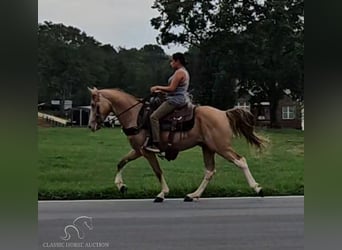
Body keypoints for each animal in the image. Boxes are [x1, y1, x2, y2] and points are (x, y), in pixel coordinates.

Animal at [86, 87, 268, 202]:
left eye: (94, 105)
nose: (90, 125)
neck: (136, 116)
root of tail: (224, 113)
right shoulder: (138, 150)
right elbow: (121, 162)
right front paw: (120, 186)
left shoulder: (147, 151)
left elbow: (157, 171)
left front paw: (162, 194)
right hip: (208, 148)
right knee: (209, 171)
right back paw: (193, 195)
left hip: (221, 147)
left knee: (240, 161)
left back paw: (257, 188)